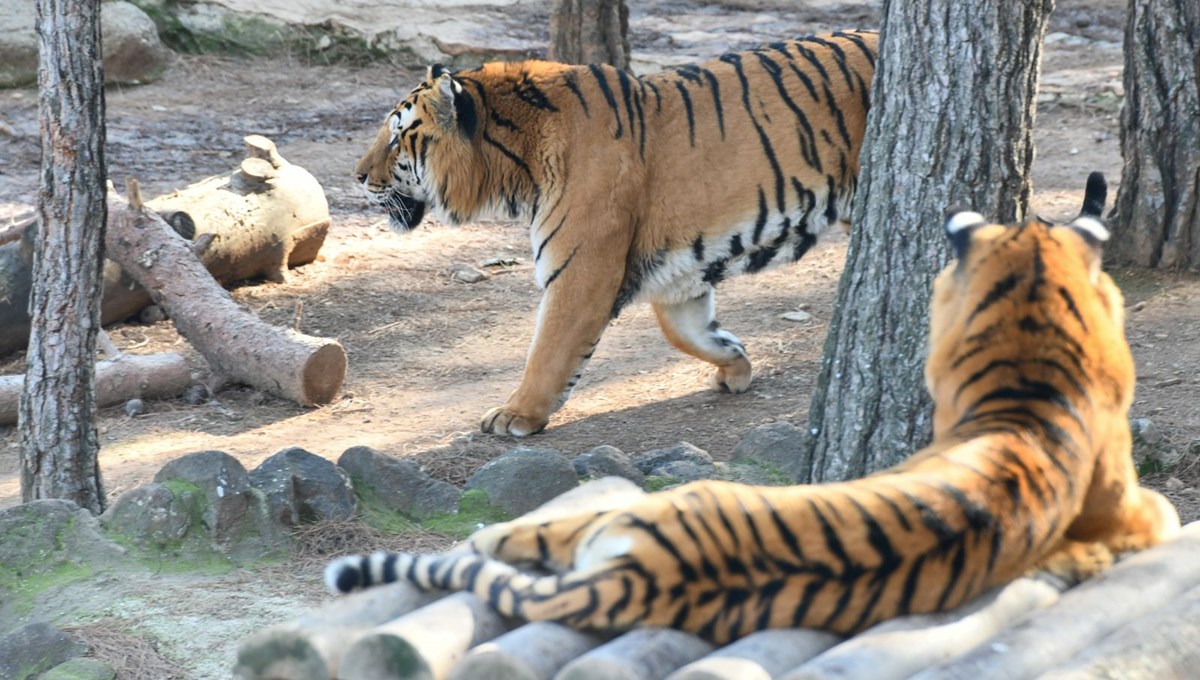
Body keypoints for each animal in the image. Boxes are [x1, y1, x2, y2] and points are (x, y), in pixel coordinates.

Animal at [350, 30, 878, 436]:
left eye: (397, 137)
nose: (356, 176)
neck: (515, 165)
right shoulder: (682, 268)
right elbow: (687, 333)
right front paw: (736, 365)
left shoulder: (581, 272)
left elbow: (549, 350)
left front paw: (515, 415)